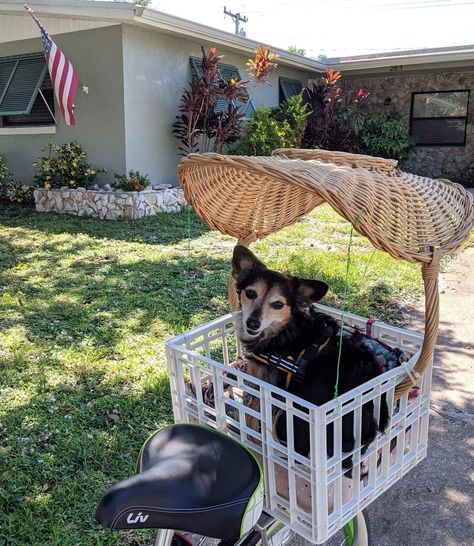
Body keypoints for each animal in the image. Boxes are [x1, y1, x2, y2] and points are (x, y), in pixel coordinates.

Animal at [231, 244, 386, 470]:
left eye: (278, 305)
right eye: (251, 293)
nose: (252, 323)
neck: (284, 331)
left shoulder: (268, 383)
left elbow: (253, 413)